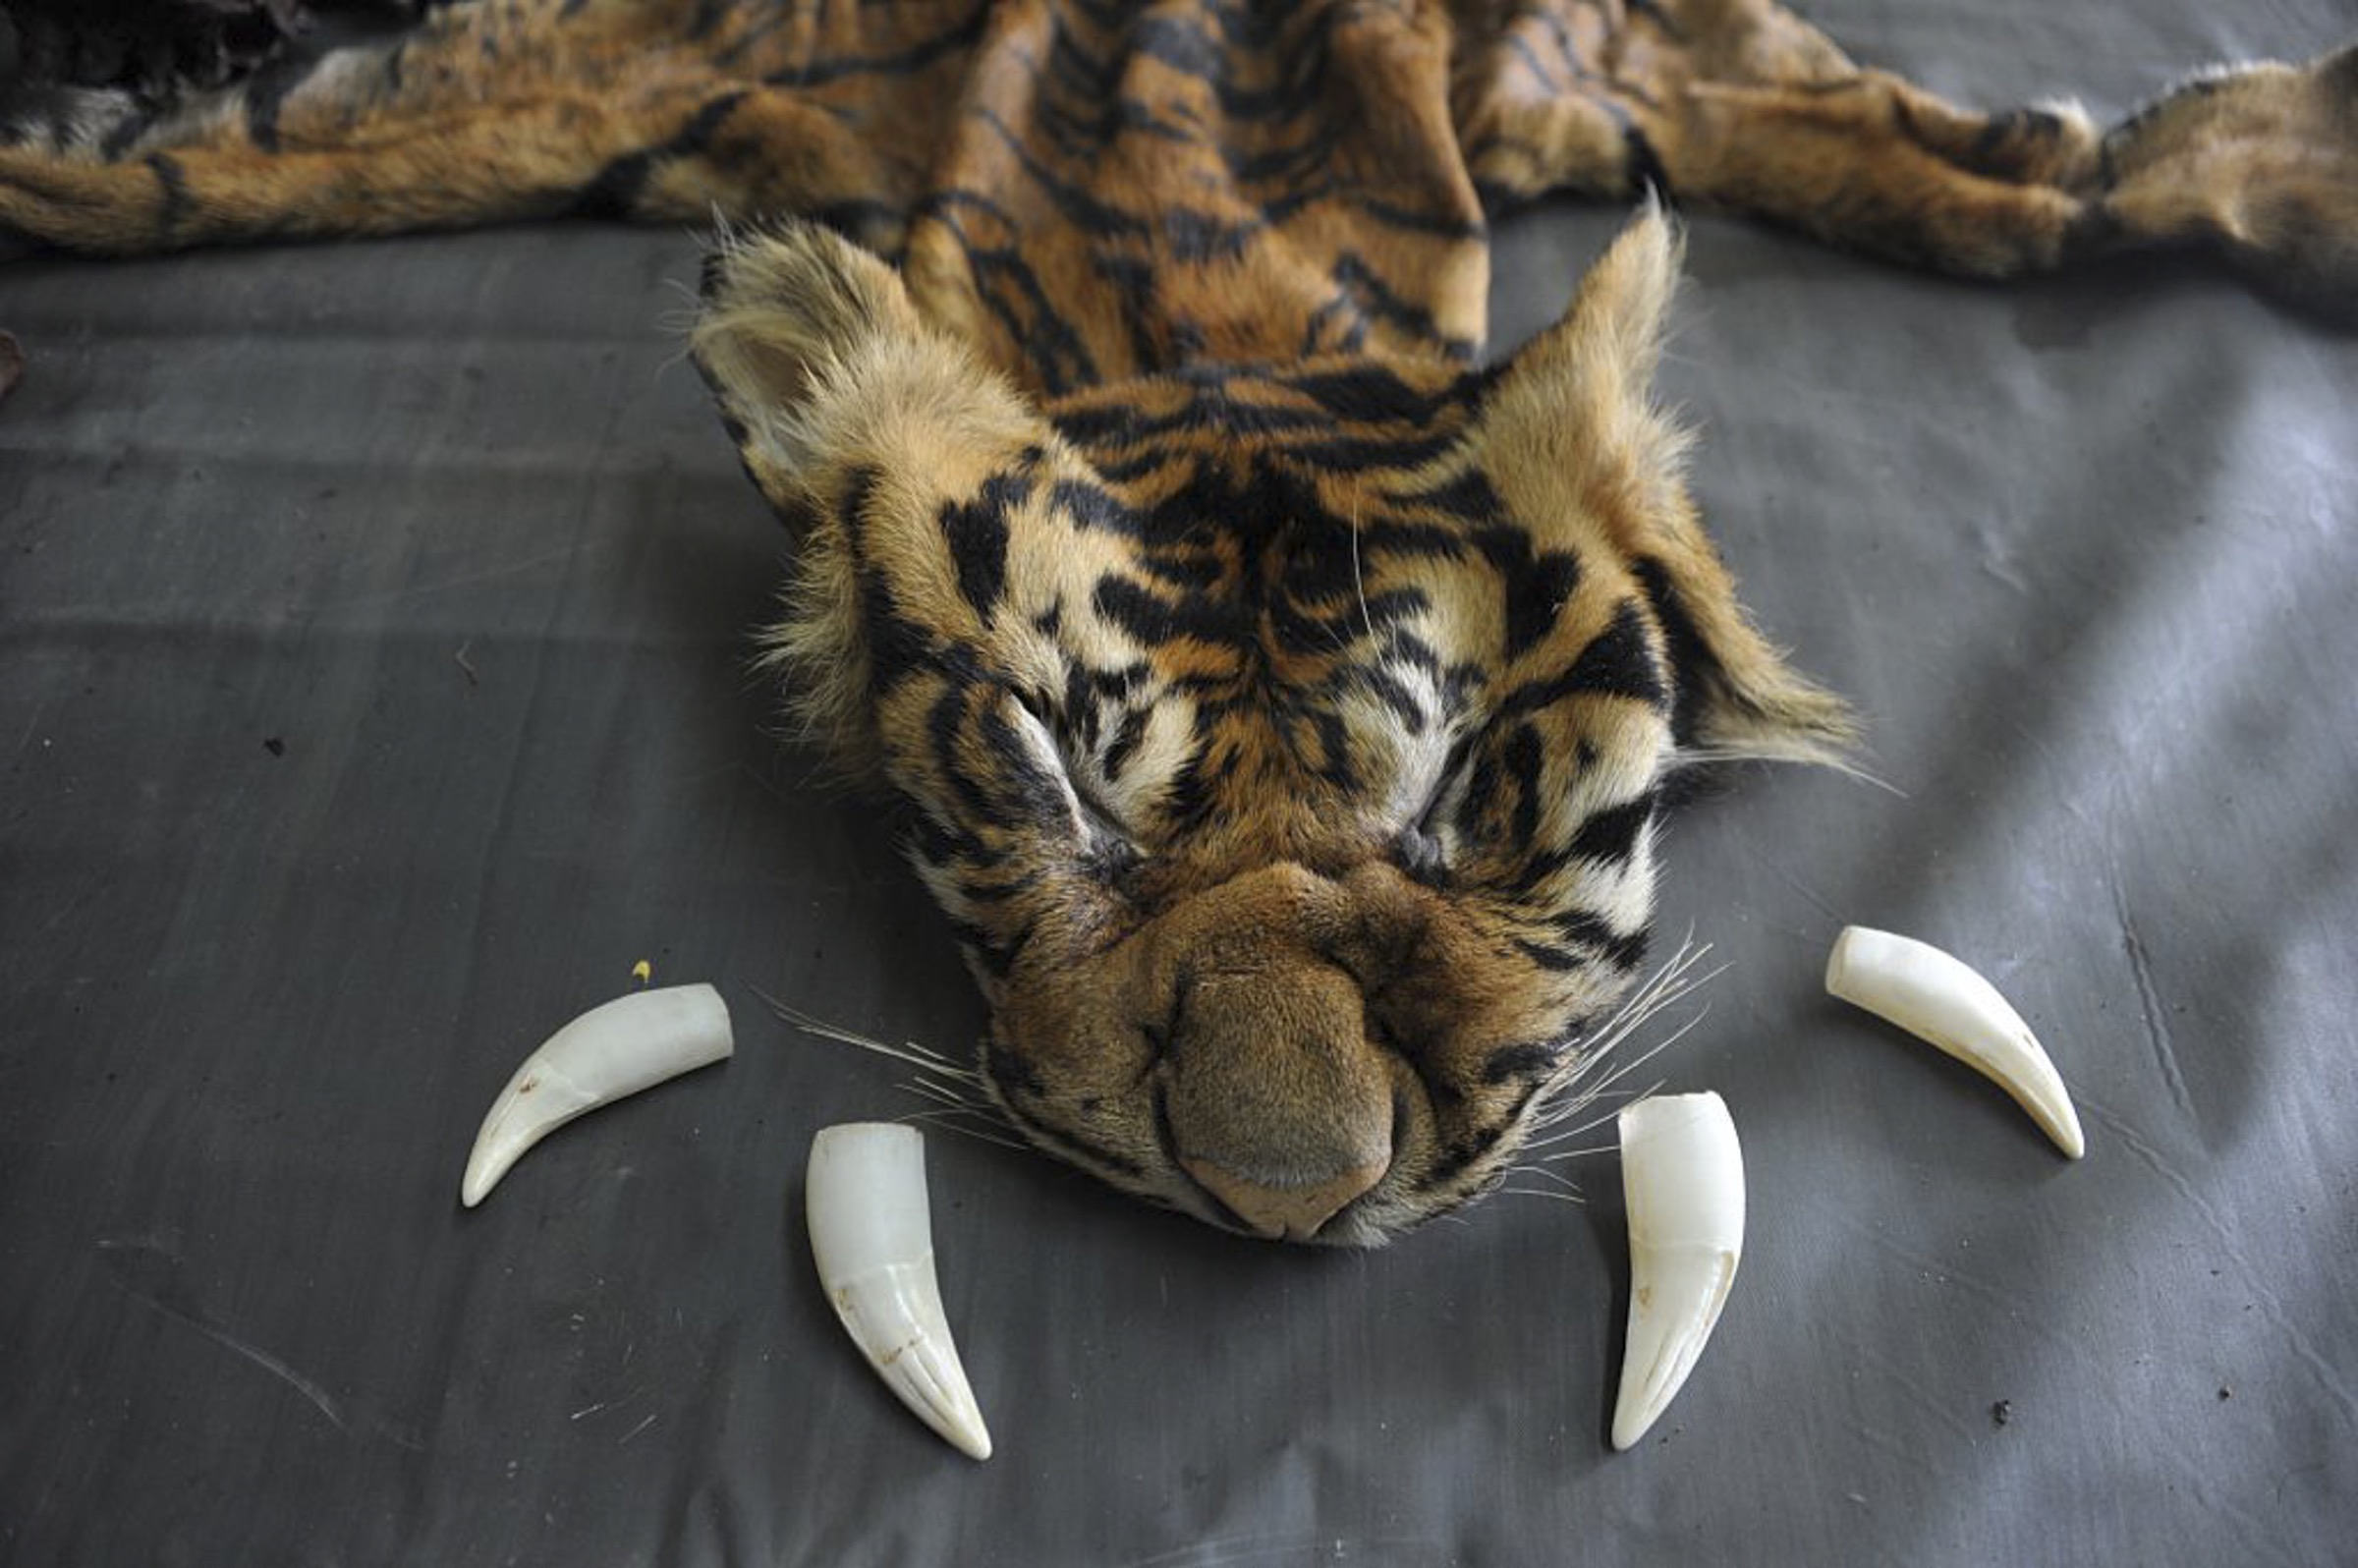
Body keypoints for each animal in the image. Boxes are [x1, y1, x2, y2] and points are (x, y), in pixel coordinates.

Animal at [4, 1, 2351, 1244]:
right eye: (1053, 783)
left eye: (1468, 795)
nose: (1290, 1200)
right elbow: (286, 155)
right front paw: (97, 135)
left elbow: (1951, 169)